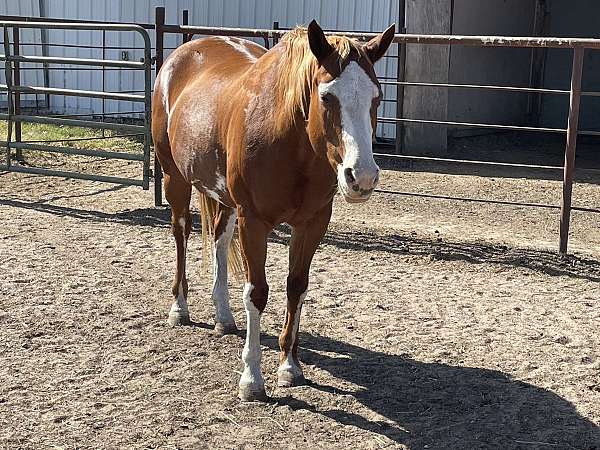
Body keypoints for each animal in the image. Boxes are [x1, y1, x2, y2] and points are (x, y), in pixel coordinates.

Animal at [151, 20, 394, 400]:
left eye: (376, 97)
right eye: (327, 96)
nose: (362, 177)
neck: (291, 143)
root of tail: (181, 56)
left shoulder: (312, 223)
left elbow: (297, 286)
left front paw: (289, 366)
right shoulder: (254, 222)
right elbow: (257, 293)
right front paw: (251, 379)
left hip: (224, 199)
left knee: (219, 239)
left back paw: (223, 316)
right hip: (173, 177)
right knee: (181, 233)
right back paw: (180, 307)